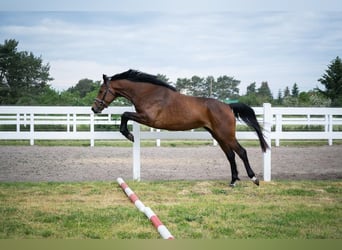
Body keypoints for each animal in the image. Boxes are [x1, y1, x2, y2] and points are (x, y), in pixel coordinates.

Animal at [92, 69, 268, 187]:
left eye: (101, 90)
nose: (95, 109)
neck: (148, 93)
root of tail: (228, 106)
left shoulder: (148, 118)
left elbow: (124, 114)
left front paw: (129, 135)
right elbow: (125, 115)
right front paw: (129, 135)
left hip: (226, 135)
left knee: (241, 152)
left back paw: (254, 179)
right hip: (218, 135)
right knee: (230, 155)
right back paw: (232, 181)